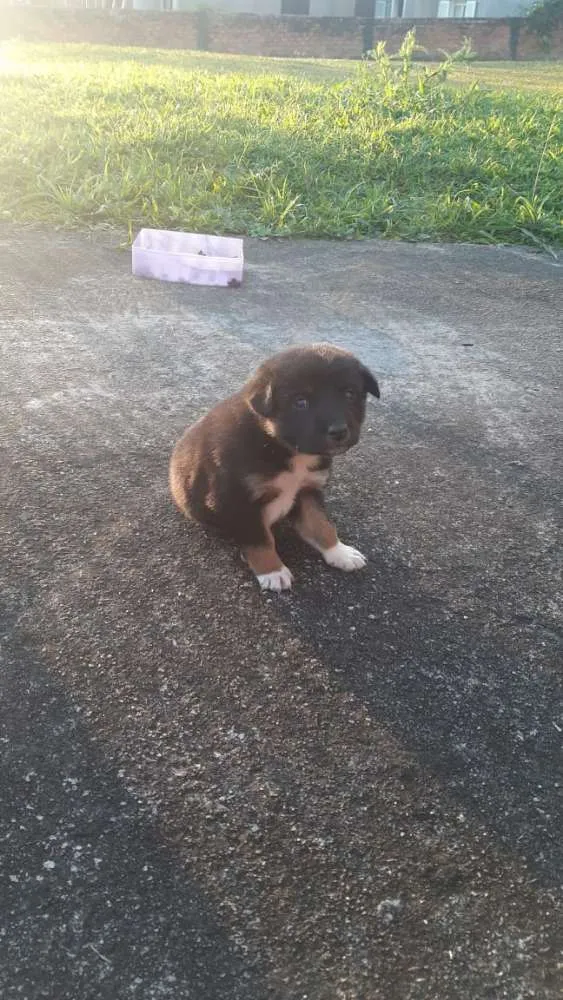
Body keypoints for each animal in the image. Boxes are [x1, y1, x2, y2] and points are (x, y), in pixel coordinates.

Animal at [167, 348, 378, 588]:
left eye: (349, 394)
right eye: (300, 402)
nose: (339, 431)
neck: (281, 446)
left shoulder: (308, 490)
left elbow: (321, 524)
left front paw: (339, 552)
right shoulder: (239, 499)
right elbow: (260, 539)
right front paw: (272, 571)